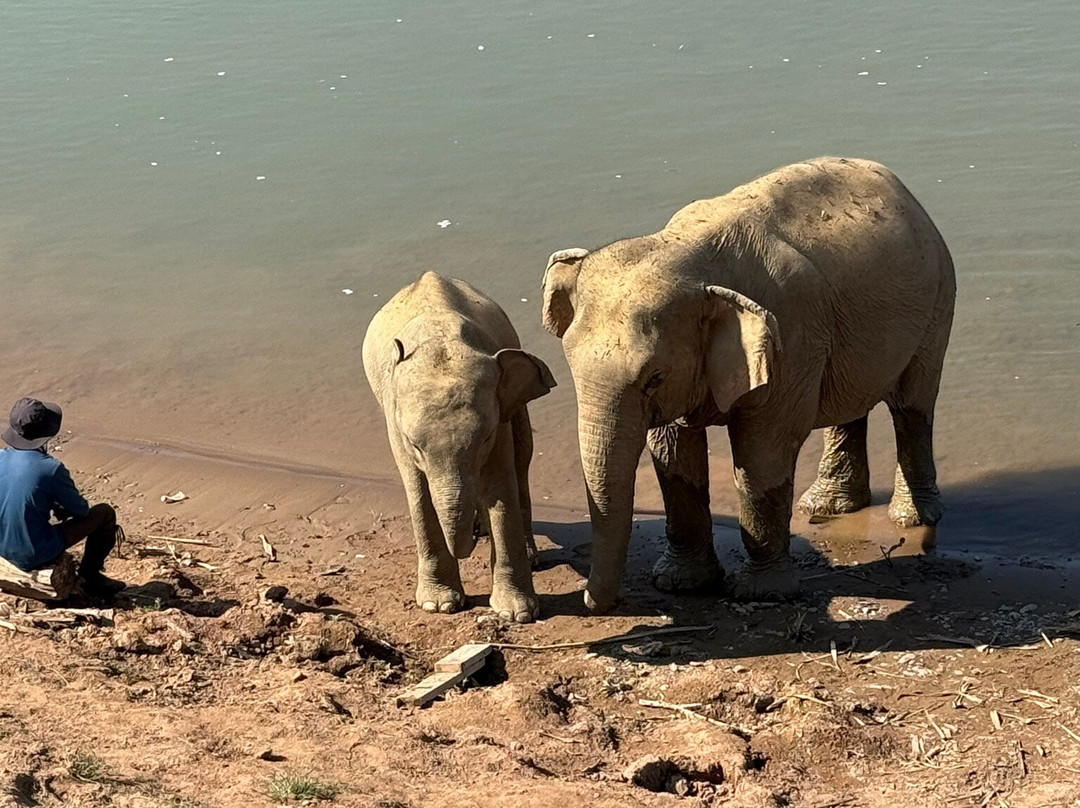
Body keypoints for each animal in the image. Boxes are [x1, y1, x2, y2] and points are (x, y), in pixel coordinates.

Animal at [363, 272, 556, 622]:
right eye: (415, 446)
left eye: (485, 438)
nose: (467, 547)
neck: (440, 339)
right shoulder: (394, 424)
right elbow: (418, 491)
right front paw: (438, 605)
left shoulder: (499, 414)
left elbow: (500, 483)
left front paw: (517, 613)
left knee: (523, 457)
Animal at [542, 157, 956, 613]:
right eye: (570, 366)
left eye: (655, 378)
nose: (599, 602)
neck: (689, 252)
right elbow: (672, 454)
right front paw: (680, 584)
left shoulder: (789, 336)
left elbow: (763, 452)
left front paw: (762, 593)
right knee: (850, 405)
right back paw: (827, 505)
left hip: (938, 302)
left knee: (912, 405)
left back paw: (911, 518)